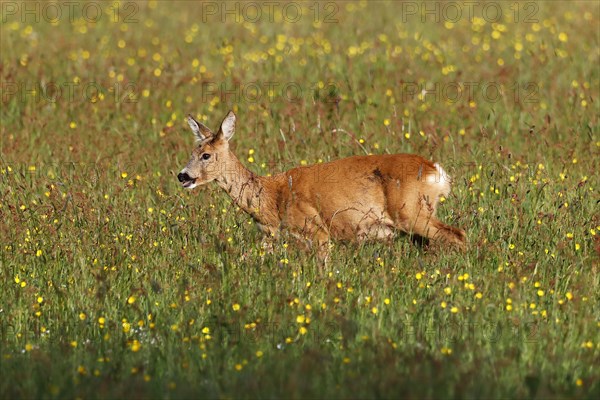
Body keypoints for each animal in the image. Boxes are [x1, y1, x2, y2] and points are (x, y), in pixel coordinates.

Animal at [176, 111, 466, 258]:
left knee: (457, 235)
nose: (182, 176)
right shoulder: (270, 237)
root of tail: (436, 171)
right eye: (192, 151)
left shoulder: (316, 231)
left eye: (206, 155)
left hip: (412, 211)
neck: (272, 198)